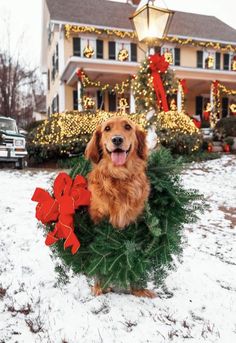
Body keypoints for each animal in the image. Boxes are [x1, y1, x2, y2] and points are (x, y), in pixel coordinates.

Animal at [85, 117, 156, 298]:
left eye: (127, 127)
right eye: (107, 129)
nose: (117, 139)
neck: (119, 177)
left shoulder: (133, 222)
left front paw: (138, 289)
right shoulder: (98, 222)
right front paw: (99, 288)